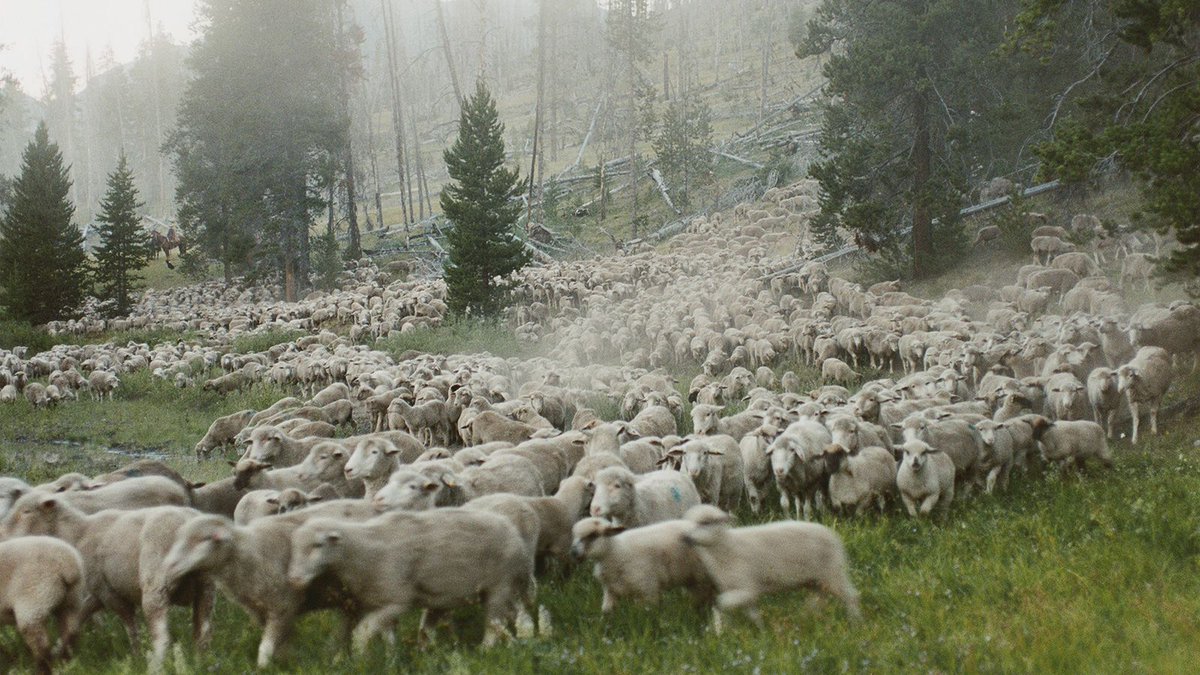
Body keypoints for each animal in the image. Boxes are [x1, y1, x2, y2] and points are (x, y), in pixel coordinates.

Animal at [0, 536, 85, 675]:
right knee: (70, 631)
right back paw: (66, 663)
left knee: (41, 643)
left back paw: (42, 669)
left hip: (34, 597)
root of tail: (68, 565)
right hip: (72, 599)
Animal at [286, 509, 536, 651]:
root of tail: (514, 533)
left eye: (317, 545)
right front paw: (392, 659)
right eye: (294, 547)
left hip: (500, 585)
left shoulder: (397, 600)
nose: (294, 579)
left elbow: (362, 633)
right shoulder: (379, 604)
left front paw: (359, 658)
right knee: (510, 615)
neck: (365, 550)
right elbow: (387, 637)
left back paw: (485, 650)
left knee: (494, 623)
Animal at [569, 517, 713, 613]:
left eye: (593, 535)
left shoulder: (646, 590)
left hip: (702, 577)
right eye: (574, 535)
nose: (573, 552)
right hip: (693, 579)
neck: (614, 551)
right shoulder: (610, 591)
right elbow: (607, 612)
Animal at [679, 505, 861, 632]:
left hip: (833, 572)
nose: (685, 537)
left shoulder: (746, 588)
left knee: (851, 596)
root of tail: (834, 535)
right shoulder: (743, 590)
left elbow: (721, 603)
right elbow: (752, 614)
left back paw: (856, 624)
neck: (725, 548)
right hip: (816, 579)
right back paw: (805, 618)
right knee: (819, 599)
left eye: (706, 522)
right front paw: (760, 632)